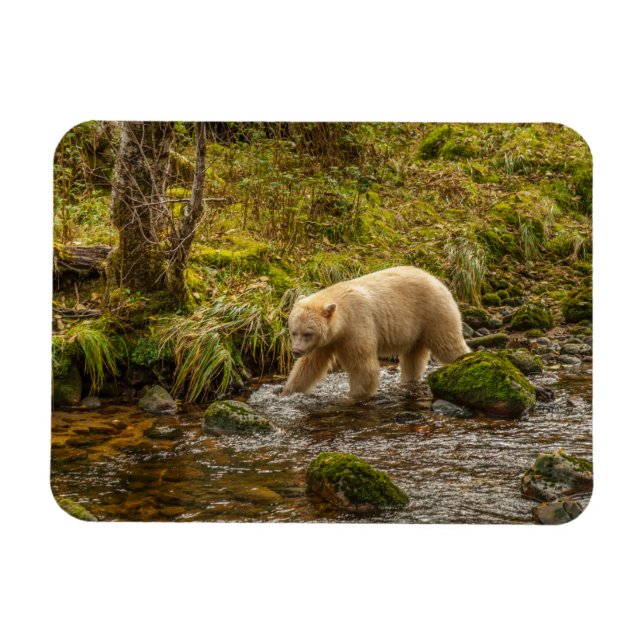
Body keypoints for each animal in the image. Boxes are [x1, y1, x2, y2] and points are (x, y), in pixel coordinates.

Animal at [281, 266, 470, 399]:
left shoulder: (356, 327)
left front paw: (354, 396)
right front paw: (288, 392)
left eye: (308, 333)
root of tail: (437, 279)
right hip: (416, 330)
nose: (296, 351)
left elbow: (363, 367)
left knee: (448, 344)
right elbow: (309, 366)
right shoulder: (326, 341)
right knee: (413, 358)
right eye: (293, 331)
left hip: (434, 313)